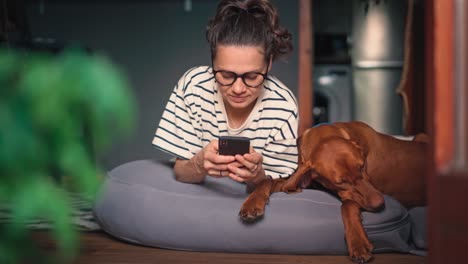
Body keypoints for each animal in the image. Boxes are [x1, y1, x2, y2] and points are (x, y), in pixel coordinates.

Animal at [239, 120, 426, 262]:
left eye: (362, 166)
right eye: (341, 182)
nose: (380, 204)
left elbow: (348, 205)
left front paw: (358, 243)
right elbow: (268, 181)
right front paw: (252, 203)